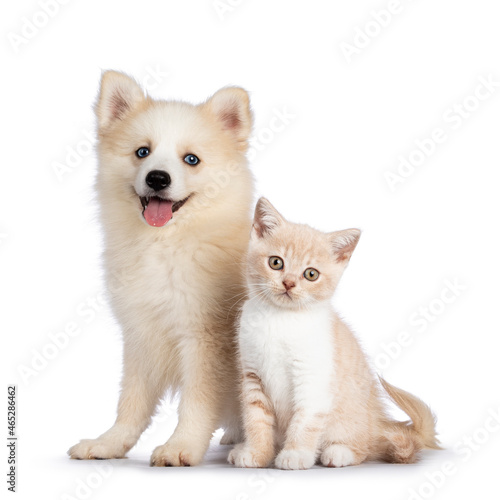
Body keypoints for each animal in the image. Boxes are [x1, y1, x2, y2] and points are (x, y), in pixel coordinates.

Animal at [229, 198, 440, 468]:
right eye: (276, 262)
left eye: (311, 274)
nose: (288, 283)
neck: (280, 319)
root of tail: (378, 424)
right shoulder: (253, 376)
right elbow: (256, 420)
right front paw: (257, 453)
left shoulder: (313, 379)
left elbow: (305, 421)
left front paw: (295, 454)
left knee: (365, 448)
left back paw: (339, 452)